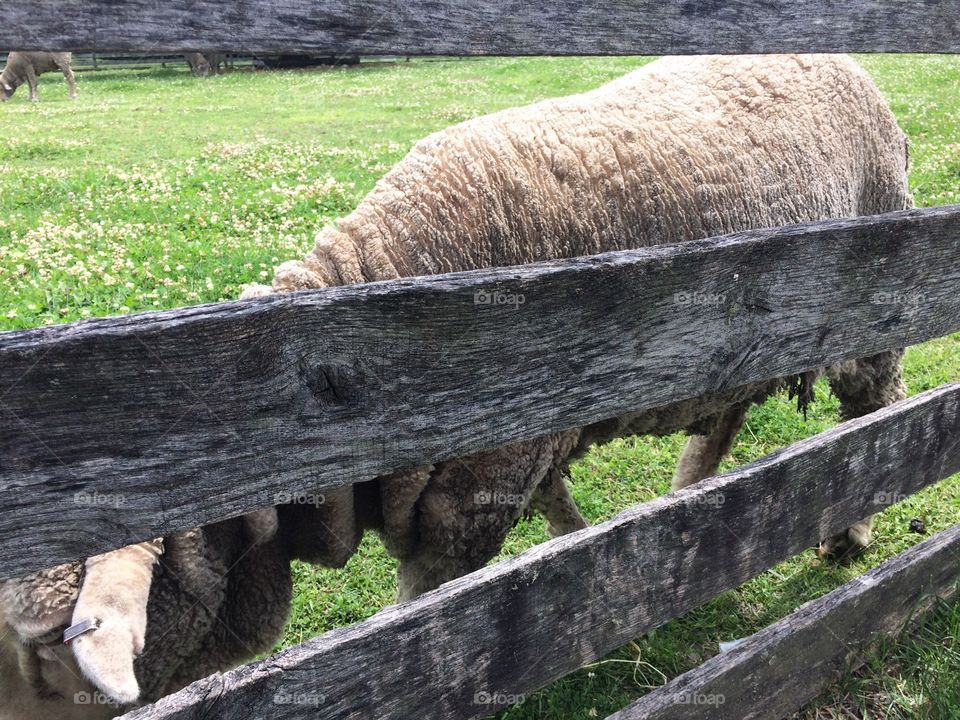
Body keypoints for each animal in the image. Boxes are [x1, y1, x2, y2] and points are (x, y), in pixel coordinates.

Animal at [243, 54, 911, 601]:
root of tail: (857, 71)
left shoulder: (476, 493)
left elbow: (421, 606)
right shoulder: (523, 447)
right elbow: (555, 502)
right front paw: (584, 554)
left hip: (872, 310)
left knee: (876, 411)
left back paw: (850, 530)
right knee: (725, 419)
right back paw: (687, 504)